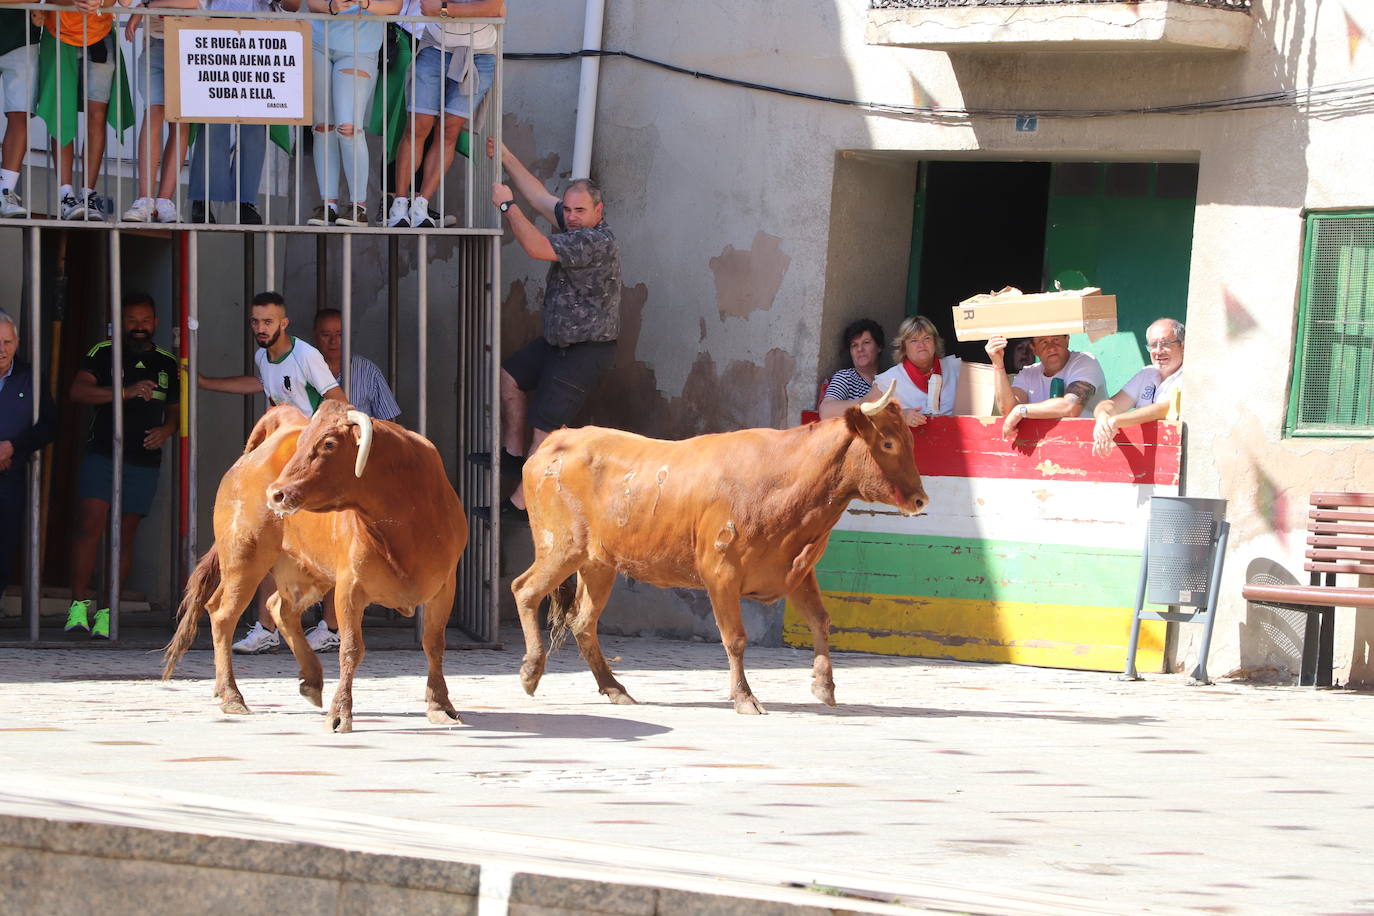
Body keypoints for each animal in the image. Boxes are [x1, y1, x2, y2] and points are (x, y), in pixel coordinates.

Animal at [162, 403, 467, 736]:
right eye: (302, 442)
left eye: (329, 444)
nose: (276, 494)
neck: (406, 520)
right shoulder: (349, 587)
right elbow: (351, 649)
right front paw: (340, 712)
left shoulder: (445, 586)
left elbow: (433, 644)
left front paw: (440, 705)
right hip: (244, 558)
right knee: (222, 614)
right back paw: (232, 695)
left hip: (304, 570)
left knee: (280, 608)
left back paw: (310, 679)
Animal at [511, 379, 928, 714]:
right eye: (888, 442)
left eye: (909, 441)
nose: (920, 499)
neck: (784, 482)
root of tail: (557, 440)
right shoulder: (721, 574)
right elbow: (735, 638)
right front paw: (745, 697)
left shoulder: (796, 570)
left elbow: (820, 621)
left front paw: (824, 686)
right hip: (560, 547)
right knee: (525, 590)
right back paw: (531, 671)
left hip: (598, 564)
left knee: (583, 622)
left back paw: (615, 689)